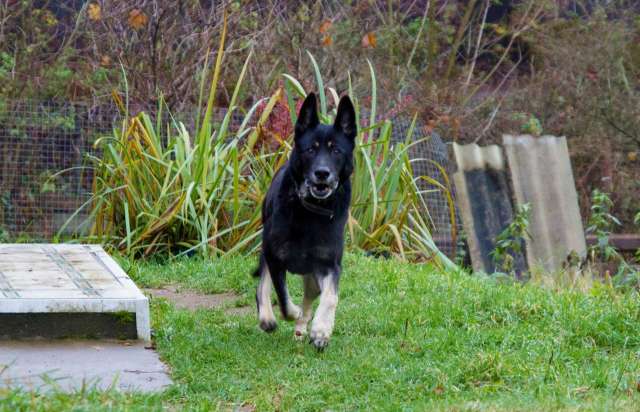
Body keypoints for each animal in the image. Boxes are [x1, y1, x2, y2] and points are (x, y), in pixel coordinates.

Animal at [254, 91, 356, 350]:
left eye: (336, 151)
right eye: (311, 149)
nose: (322, 173)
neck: (311, 210)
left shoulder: (329, 265)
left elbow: (331, 297)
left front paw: (321, 331)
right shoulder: (275, 256)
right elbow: (282, 296)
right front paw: (287, 312)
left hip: (312, 277)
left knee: (311, 300)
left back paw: (303, 329)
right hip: (267, 248)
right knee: (263, 283)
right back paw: (267, 317)